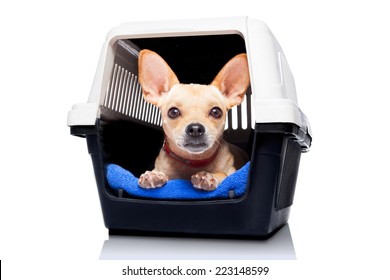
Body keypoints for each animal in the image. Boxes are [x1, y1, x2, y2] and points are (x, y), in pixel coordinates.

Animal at [137, 49, 250, 191]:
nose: (195, 128)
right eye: (173, 112)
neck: (193, 162)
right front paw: (154, 175)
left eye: (216, 112)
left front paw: (208, 176)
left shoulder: (232, 172)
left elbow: (223, 174)